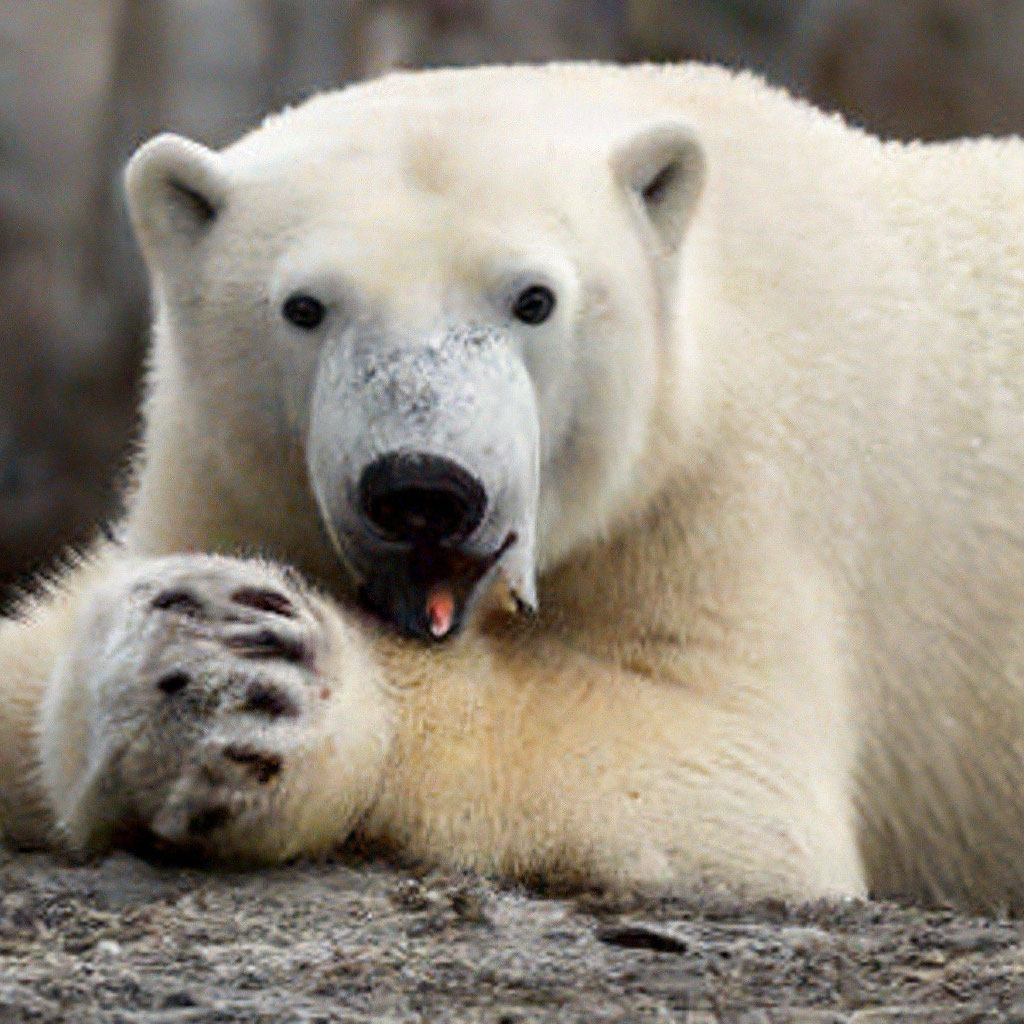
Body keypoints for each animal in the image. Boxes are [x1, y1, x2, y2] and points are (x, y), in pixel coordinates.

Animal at [2, 64, 1024, 913]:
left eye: (534, 298)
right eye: (304, 307)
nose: (422, 489)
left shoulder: (729, 496)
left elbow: (731, 778)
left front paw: (262, 674)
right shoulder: (228, 480)